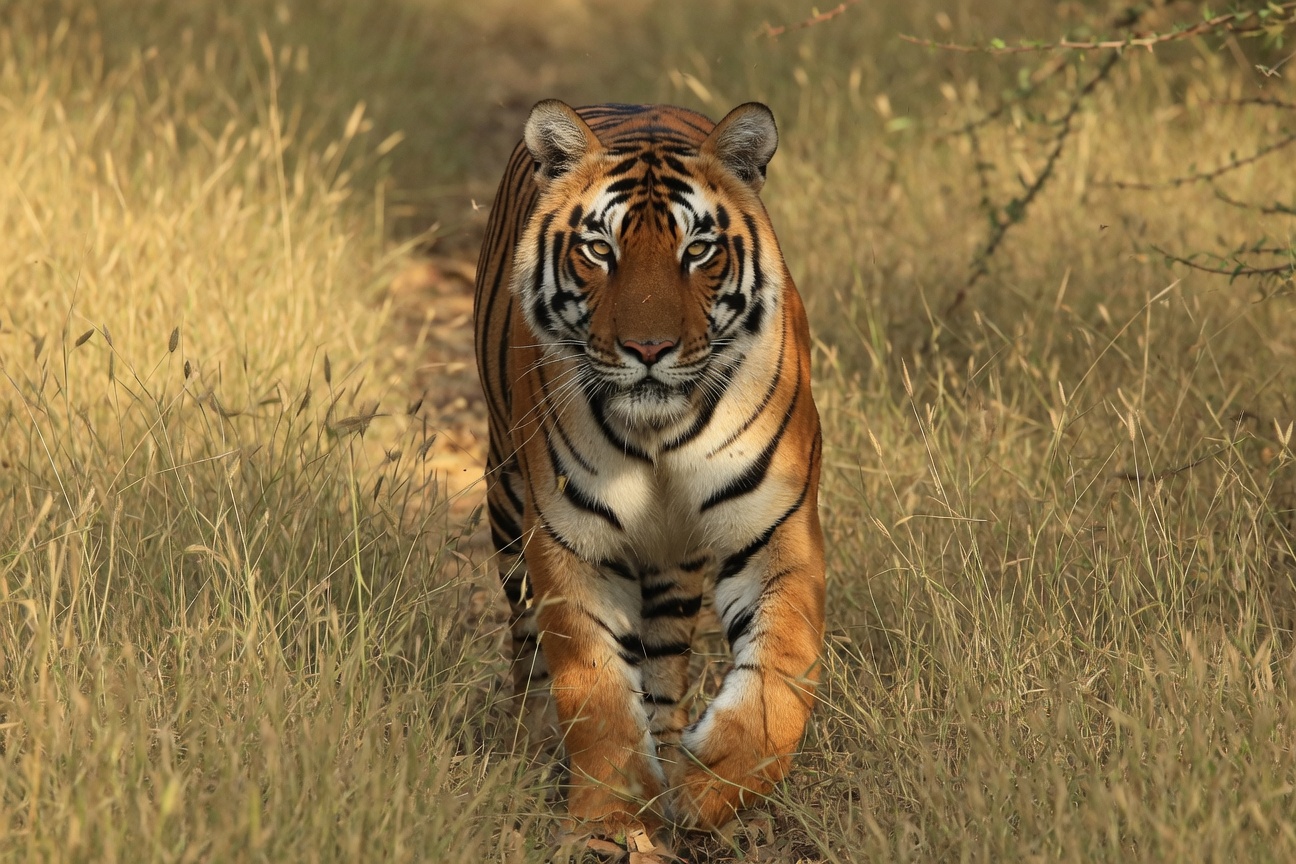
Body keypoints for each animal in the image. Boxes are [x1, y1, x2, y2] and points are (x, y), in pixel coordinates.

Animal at [472, 99, 825, 834]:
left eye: (698, 250)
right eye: (600, 250)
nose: (649, 349)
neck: (662, 432)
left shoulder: (779, 531)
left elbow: (782, 674)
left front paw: (708, 786)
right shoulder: (572, 541)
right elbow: (595, 692)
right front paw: (609, 822)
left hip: (673, 560)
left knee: (662, 661)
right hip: (506, 497)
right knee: (525, 638)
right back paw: (530, 740)